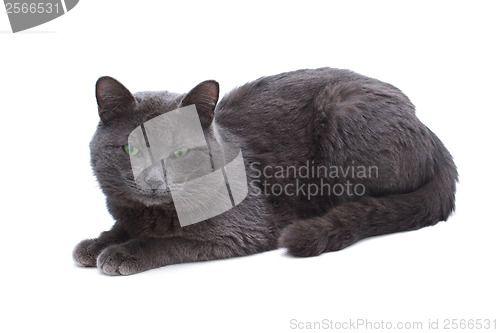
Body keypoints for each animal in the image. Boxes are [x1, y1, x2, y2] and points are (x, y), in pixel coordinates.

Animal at [73, 67, 458, 274]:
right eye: (131, 149)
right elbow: (123, 225)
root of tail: (430, 132)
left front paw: (123, 252)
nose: (153, 181)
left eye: (180, 152)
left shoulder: (244, 228)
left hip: (343, 115)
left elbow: (172, 240)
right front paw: (98, 243)